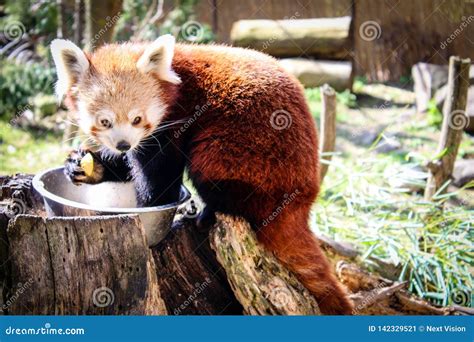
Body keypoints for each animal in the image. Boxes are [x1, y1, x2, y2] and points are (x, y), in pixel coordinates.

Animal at [52, 34, 356, 316]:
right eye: (105, 121)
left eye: (137, 119)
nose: (123, 144)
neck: (175, 81)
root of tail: (304, 200)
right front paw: (88, 165)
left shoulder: (176, 120)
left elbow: (160, 177)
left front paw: (150, 205)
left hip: (248, 150)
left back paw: (209, 212)